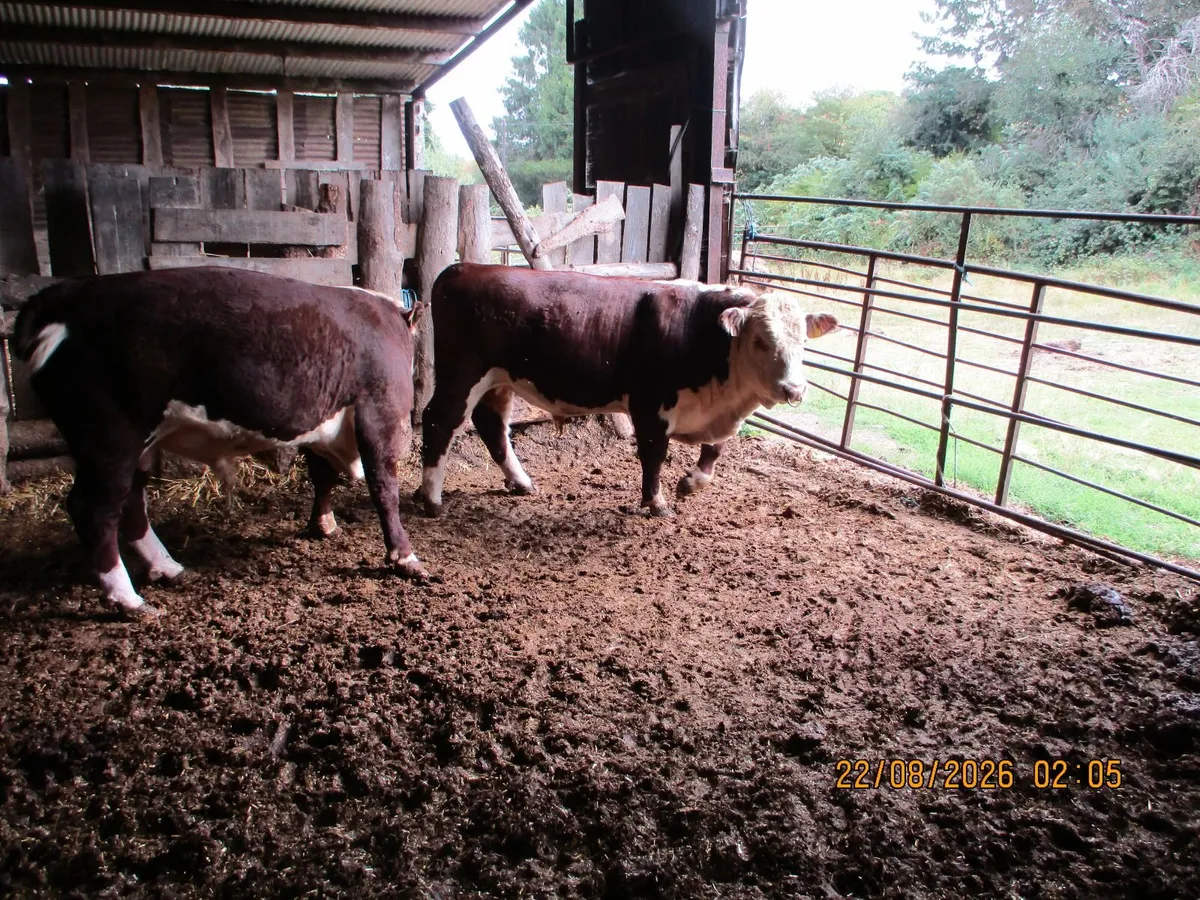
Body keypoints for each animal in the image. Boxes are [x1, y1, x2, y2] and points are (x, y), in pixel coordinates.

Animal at [12, 267, 426, 618]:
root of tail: (70, 292)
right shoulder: (379, 412)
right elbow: (384, 489)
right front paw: (404, 557)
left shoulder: (325, 418)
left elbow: (322, 475)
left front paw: (323, 525)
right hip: (109, 436)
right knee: (94, 509)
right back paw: (127, 598)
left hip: (135, 443)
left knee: (130, 503)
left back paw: (167, 568)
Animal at [417, 263, 838, 518]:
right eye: (761, 341)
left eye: (803, 340)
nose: (794, 389)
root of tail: (463, 268)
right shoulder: (650, 405)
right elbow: (653, 456)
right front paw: (657, 503)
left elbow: (715, 451)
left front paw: (690, 483)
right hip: (463, 373)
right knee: (439, 420)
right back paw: (431, 499)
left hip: (499, 381)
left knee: (491, 425)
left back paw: (521, 483)